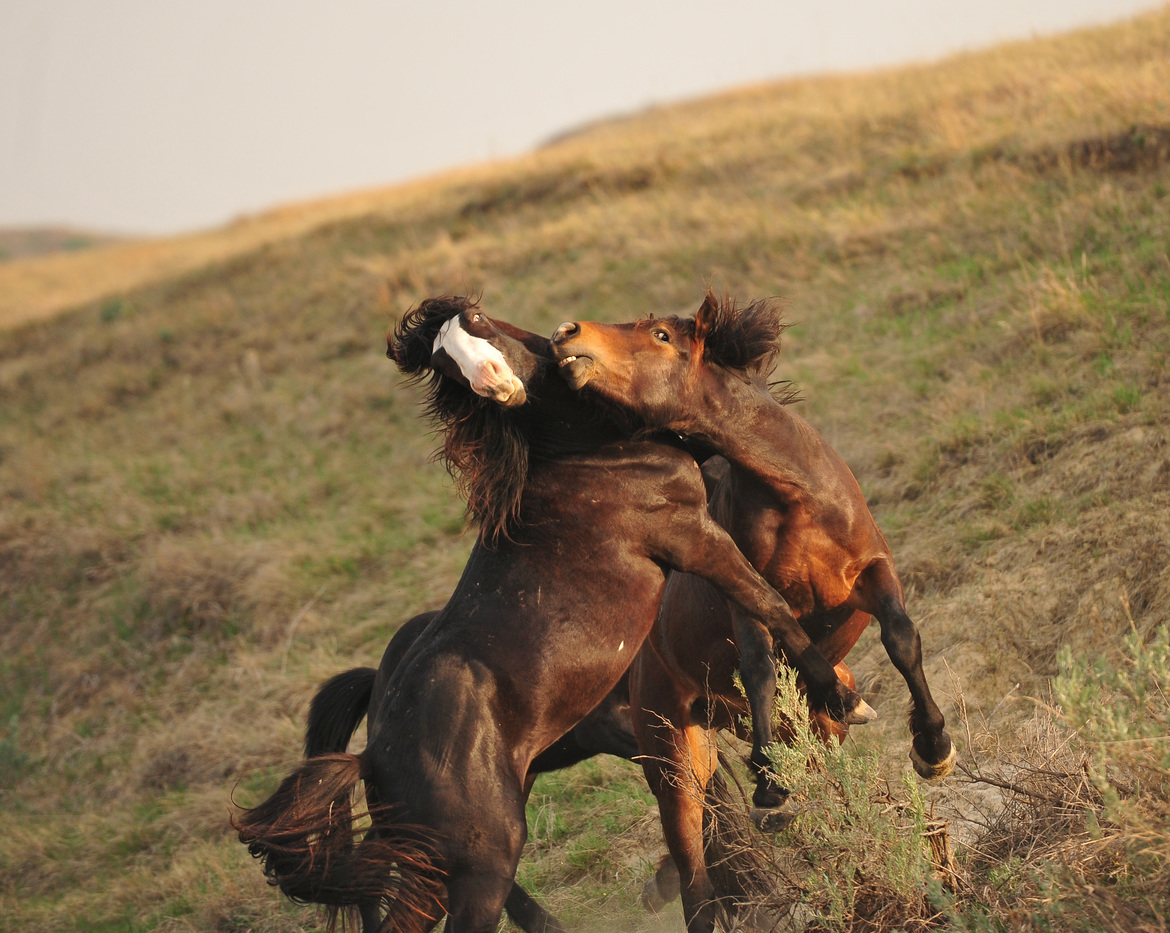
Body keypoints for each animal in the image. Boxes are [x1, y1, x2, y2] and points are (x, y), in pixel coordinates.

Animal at [236, 296, 865, 933]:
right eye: (444, 365)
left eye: (477, 322)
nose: (493, 383)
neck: (579, 455)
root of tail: (372, 757)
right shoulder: (690, 535)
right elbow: (767, 602)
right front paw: (841, 699)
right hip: (484, 861)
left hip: (434, 861)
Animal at [551, 292, 957, 933]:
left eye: (660, 335)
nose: (567, 333)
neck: (797, 497)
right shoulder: (749, 605)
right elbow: (764, 668)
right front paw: (770, 791)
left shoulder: (873, 573)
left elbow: (901, 636)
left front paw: (933, 748)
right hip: (676, 762)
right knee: (697, 881)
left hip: (787, 731)